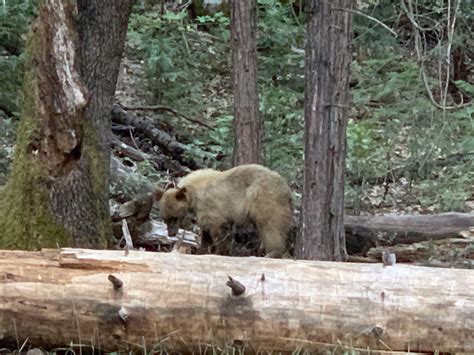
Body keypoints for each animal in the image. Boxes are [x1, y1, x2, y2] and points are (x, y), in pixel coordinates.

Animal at [155, 165, 292, 258]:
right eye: (165, 219)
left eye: (174, 218)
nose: (171, 234)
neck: (193, 193)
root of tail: (287, 189)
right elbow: (206, 231)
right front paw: (204, 249)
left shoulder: (210, 205)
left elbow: (217, 229)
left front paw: (219, 251)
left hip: (265, 199)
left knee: (271, 227)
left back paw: (272, 252)